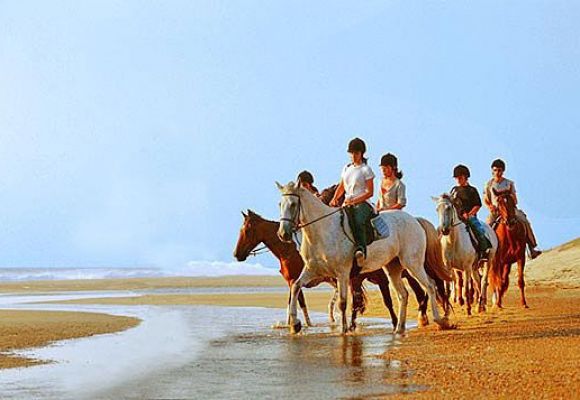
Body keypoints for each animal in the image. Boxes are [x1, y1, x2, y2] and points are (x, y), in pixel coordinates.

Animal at [276, 182, 448, 334]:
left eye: (293, 204)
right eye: (280, 204)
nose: (283, 234)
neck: (322, 231)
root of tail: (415, 220)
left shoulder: (343, 273)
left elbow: (343, 302)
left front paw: (344, 330)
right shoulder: (313, 270)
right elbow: (296, 287)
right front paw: (295, 324)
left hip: (412, 264)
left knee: (430, 286)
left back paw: (439, 321)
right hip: (393, 268)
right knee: (403, 294)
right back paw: (399, 328)